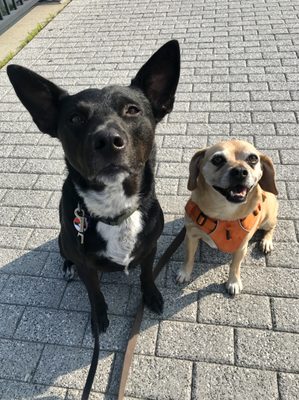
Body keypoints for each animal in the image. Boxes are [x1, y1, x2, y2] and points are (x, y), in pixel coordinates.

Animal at [7, 40, 180, 334]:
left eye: (132, 110)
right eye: (75, 119)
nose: (108, 140)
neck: (114, 207)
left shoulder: (150, 248)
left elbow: (147, 274)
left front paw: (151, 295)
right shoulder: (86, 265)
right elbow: (94, 292)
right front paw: (99, 316)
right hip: (64, 240)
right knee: (66, 254)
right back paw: (67, 268)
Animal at [178, 140, 278, 294]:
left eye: (253, 158)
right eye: (217, 159)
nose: (240, 172)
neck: (224, 212)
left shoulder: (242, 246)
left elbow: (235, 265)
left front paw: (233, 282)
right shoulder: (191, 235)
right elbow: (189, 257)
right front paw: (184, 273)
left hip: (268, 219)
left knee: (272, 227)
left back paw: (266, 241)